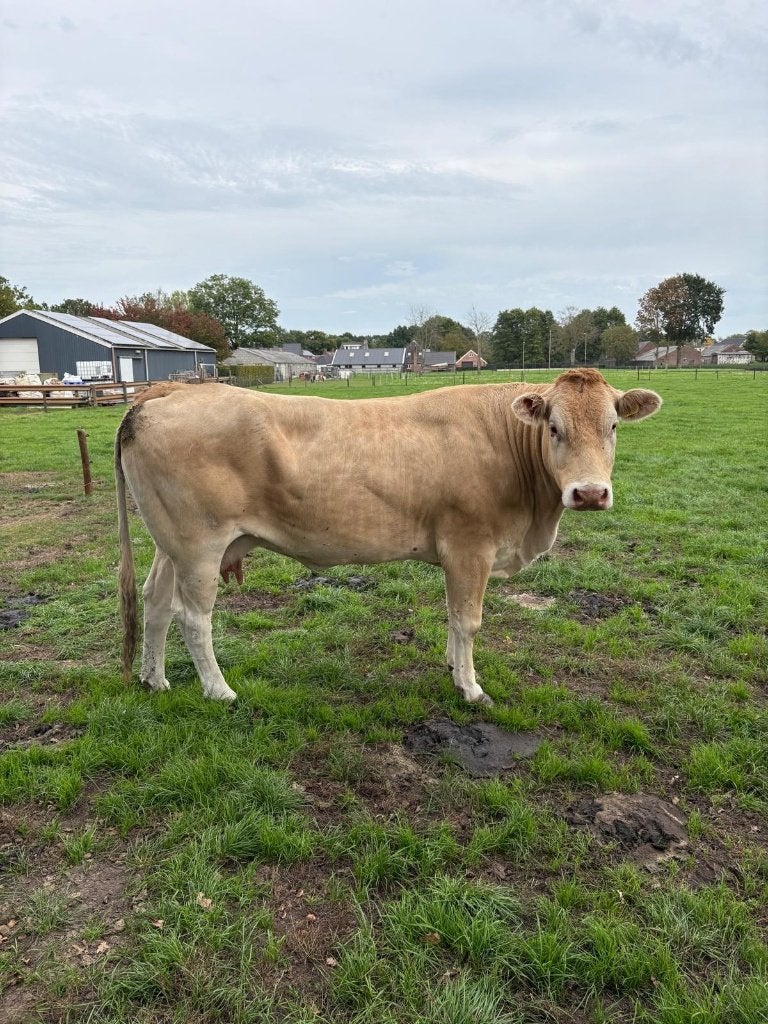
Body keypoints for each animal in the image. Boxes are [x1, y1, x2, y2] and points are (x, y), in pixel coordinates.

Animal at [115, 369, 661, 706]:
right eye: (553, 428)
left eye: (614, 426)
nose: (589, 493)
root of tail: (168, 392)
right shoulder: (471, 546)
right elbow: (468, 621)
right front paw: (470, 687)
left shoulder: (457, 555)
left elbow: (452, 616)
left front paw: (452, 666)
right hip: (199, 544)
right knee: (192, 617)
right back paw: (219, 690)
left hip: (171, 544)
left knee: (155, 601)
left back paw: (155, 679)